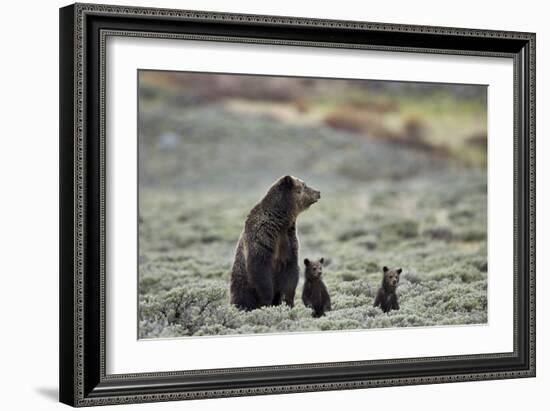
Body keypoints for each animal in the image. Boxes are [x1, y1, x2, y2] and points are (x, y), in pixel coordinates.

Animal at [231, 175, 322, 310]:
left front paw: (287, 301)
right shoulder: (262, 237)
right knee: (242, 296)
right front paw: (267, 300)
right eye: (304, 185)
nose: (318, 192)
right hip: (241, 284)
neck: (280, 222)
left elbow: (290, 273)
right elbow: (260, 269)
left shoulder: (288, 240)